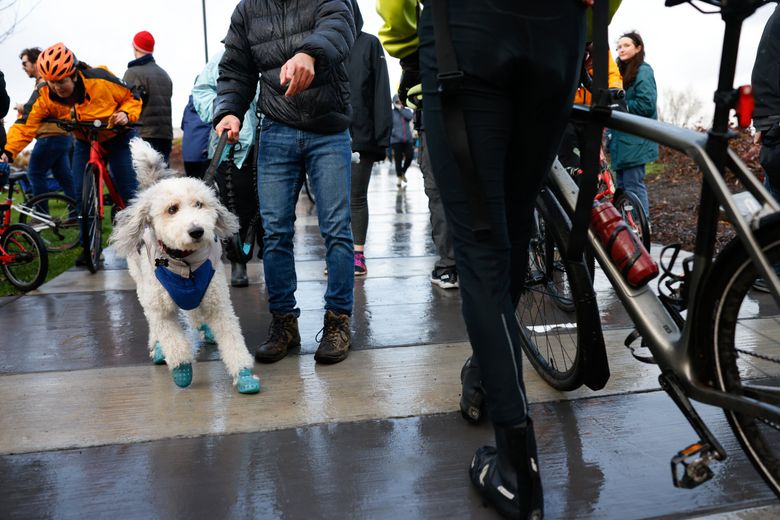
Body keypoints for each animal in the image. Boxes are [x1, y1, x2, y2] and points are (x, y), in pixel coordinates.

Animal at [109, 138, 258, 394]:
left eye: (199, 204)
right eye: (172, 209)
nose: (197, 231)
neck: (184, 262)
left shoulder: (217, 303)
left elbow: (232, 339)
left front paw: (244, 374)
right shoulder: (162, 311)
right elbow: (174, 341)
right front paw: (182, 370)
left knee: (194, 313)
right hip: (143, 287)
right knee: (154, 322)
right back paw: (157, 346)